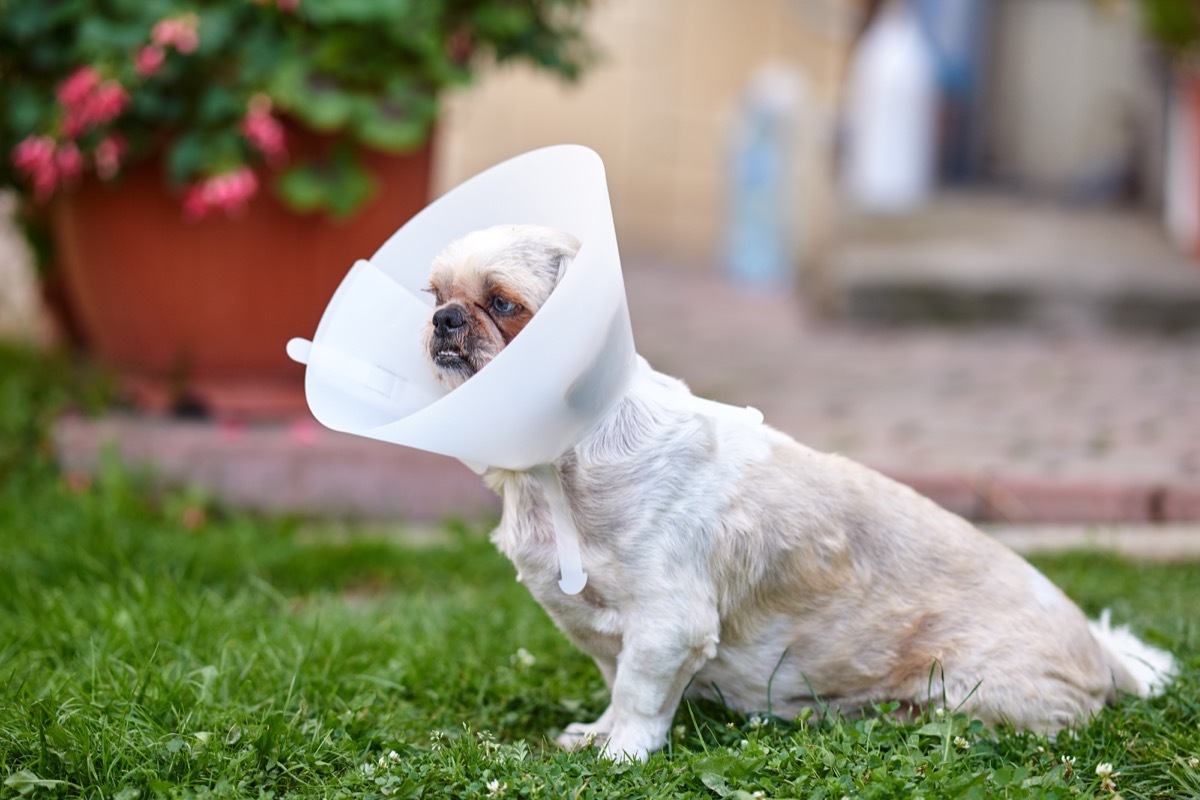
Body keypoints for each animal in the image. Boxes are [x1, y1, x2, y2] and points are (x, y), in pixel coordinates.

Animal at [420, 221, 1171, 762]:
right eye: (435, 295)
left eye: (504, 304)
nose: (445, 320)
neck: (561, 467)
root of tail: (1103, 655)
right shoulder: (607, 634)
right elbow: (617, 685)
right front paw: (598, 734)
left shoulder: (667, 624)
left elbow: (638, 696)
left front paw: (623, 753)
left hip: (972, 689)